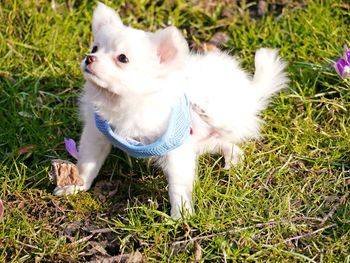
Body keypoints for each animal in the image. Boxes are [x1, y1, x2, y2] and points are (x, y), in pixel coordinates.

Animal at [53, 3, 288, 220]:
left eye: (122, 58)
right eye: (94, 48)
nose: (89, 58)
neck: (126, 101)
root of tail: (250, 93)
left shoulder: (177, 151)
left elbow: (178, 185)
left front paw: (181, 214)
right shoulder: (97, 134)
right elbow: (88, 163)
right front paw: (76, 184)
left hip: (224, 119)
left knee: (228, 135)